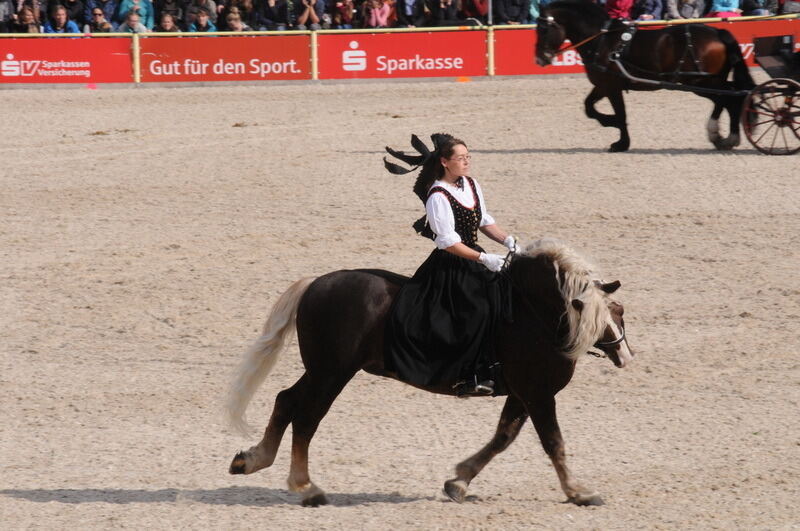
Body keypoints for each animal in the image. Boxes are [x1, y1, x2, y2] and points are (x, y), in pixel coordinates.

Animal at [223, 240, 632, 508]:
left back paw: (252, 460)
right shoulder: (538, 393)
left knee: (286, 401)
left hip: (323, 370)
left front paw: (458, 481)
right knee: (307, 417)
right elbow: (553, 443)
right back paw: (306, 487)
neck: (532, 313)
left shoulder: (522, 393)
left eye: (619, 311)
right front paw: (579, 492)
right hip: (332, 374)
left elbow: (502, 438)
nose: (625, 356)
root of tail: (316, 283)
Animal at [536, 0, 752, 154]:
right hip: (710, 82)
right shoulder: (602, 84)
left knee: (730, 100)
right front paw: (610, 124)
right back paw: (723, 136)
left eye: (544, 29)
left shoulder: (612, 87)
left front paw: (620, 141)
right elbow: (589, 107)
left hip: (701, 81)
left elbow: (620, 114)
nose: (539, 59)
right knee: (731, 98)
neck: (602, 40)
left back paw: (723, 135)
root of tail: (718, 32)